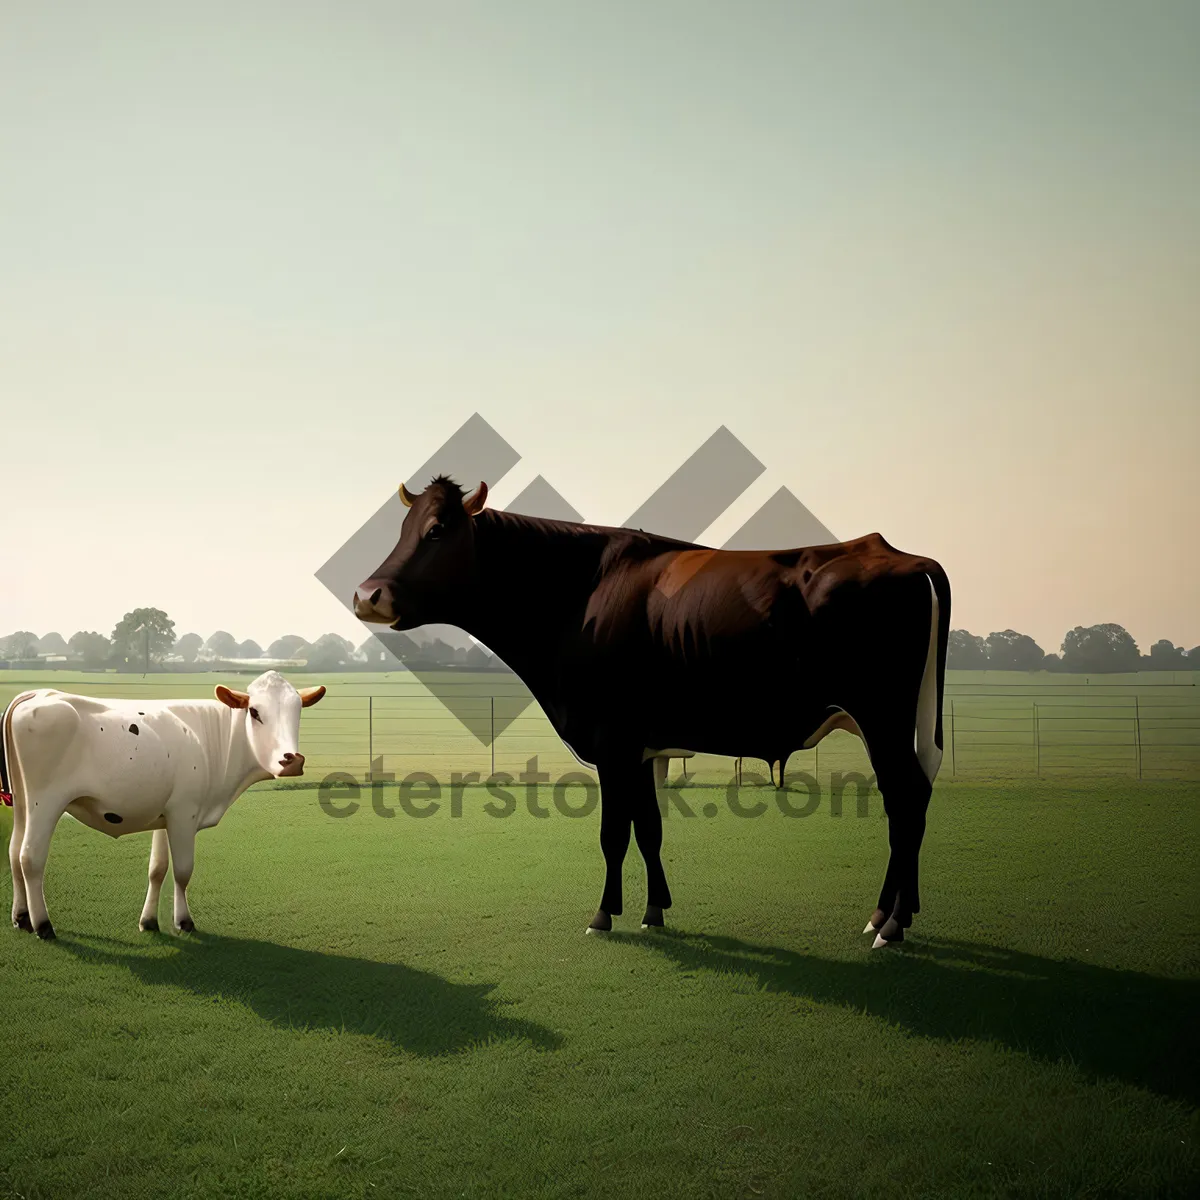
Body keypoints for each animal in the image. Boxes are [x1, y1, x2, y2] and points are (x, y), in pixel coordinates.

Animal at [2, 672, 326, 940]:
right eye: (255, 712)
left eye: (298, 711)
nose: (291, 760)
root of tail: (37, 693)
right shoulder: (184, 813)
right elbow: (183, 870)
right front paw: (183, 921)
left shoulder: (164, 814)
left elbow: (157, 868)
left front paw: (148, 922)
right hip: (45, 801)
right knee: (30, 857)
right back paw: (43, 925)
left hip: (22, 803)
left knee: (14, 851)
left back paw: (22, 918)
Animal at [350, 475, 950, 945]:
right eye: (402, 530)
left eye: (436, 531)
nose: (367, 595)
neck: (580, 597)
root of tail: (898, 553)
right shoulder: (643, 746)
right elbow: (650, 829)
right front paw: (654, 910)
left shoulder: (611, 740)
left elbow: (614, 833)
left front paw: (602, 915)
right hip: (909, 723)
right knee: (917, 797)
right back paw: (892, 915)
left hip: (883, 718)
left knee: (904, 804)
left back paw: (889, 925)